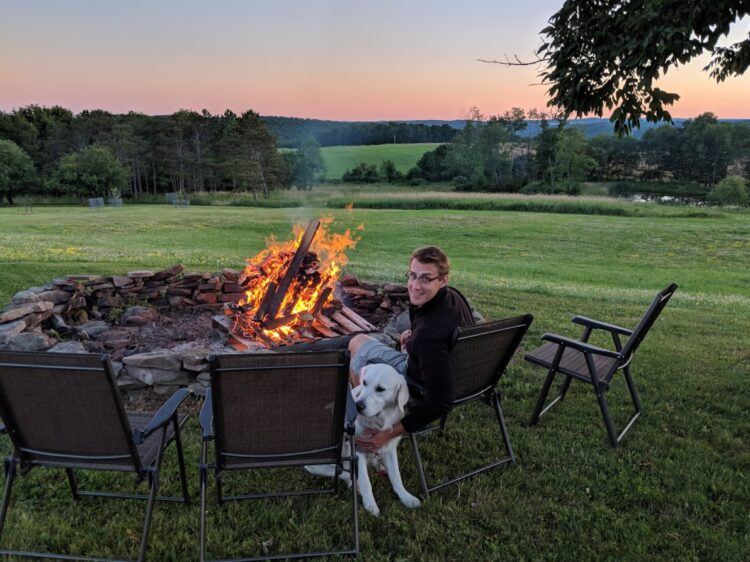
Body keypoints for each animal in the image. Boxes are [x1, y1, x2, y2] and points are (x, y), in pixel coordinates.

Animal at [352, 360, 424, 516]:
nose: (358, 406)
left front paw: (405, 497)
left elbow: (396, 475)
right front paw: (370, 505)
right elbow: (365, 481)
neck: (376, 421)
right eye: (364, 383)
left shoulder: (389, 449)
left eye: (380, 389)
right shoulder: (358, 450)